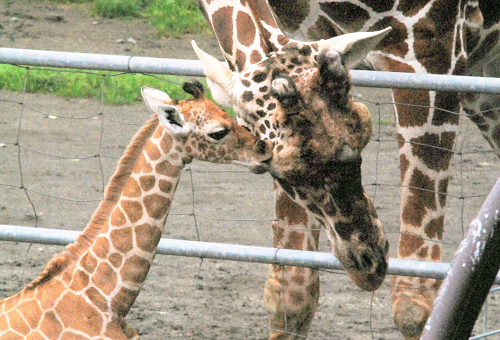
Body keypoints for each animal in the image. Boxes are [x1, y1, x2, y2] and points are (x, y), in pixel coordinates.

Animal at [197, 0, 500, 338]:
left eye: (364, 133)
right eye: (280, 168)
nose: (370, 264)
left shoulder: (430, 50)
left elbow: (414, 305)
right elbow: (290, 293)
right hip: (481, 82)